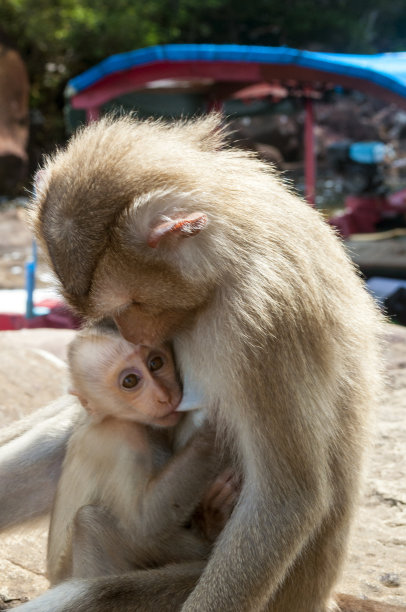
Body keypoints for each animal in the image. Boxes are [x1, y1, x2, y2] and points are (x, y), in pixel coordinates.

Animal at [47, 320, 236, 584]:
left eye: (156, 363)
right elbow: (144, 523)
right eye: (130, 381)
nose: (164, 396)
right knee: (90, 524)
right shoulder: (121, 438)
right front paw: (210, 433)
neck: (112, 417)